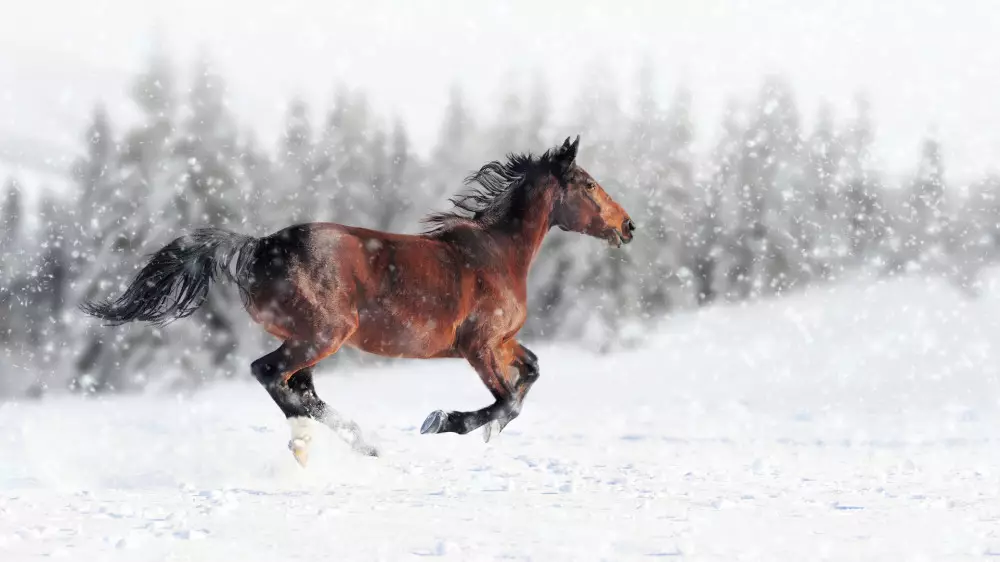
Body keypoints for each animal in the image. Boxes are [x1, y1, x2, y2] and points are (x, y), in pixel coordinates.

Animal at [82, 136, 636, 464]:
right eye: (588, 184)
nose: (628, 226)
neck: (498, 253)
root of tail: (257, 247)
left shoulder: (502, 342)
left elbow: (532, 373)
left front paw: (482, 432)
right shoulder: (479, 344)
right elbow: (507, 401)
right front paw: (445, 422)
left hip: (308, 338)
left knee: (298, 387)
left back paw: (349, 443)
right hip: (322, 333)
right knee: (271, 374)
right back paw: (317, 442)